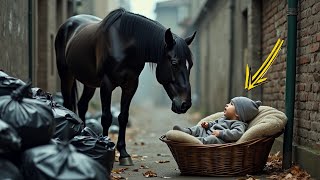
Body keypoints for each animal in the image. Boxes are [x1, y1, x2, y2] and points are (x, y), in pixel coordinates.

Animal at [54, 8, 195, 166]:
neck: (124, 43)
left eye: (190, 65)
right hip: (66, 75)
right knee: (68, 105)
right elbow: (106, 117)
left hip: (89, 82)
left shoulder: (131, 85)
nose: (185, 104)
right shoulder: (106, 84)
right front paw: (106, 147)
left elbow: (123, 117)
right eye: (174, 63)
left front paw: (123, 154)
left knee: (82, 105)